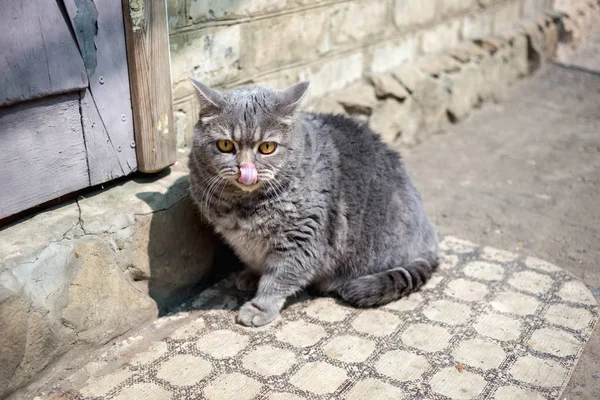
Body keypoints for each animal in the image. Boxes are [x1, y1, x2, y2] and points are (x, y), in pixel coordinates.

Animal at [190, 79, 438, 326]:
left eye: (267, 147)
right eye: (224, 145)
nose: (245, 170)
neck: (244, 206)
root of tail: (428, 237)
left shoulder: (302, 239)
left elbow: (279, 279)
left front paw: (259, 307)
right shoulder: (244, 243)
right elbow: (255, 262)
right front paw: (250, 275)